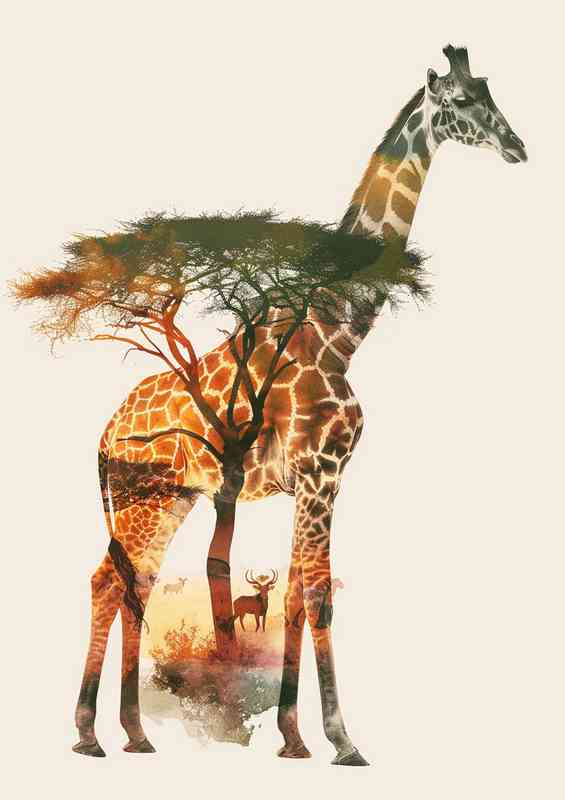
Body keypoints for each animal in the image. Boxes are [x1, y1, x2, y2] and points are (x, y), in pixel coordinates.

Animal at [72, 45, 526, 764]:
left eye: (489, 91)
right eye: (459, 102)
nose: (517, 146)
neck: (340, 330)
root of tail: (106, 430)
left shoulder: (311, 481)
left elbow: (290, 595)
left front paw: (293, 736)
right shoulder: (322, 472)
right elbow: (316, 594)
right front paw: (341, 741)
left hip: (168, 498)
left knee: (129, 583)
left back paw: (133, 734)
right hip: (143, 497)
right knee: (108, 582)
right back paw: (90, 734)